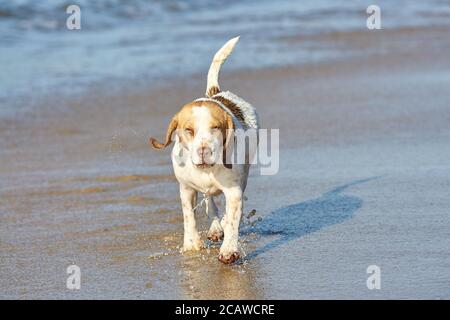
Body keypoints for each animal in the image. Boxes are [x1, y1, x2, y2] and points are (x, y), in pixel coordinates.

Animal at [150, 37, 258, 264]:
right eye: (189, 130)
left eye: (216, 127)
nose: (204, 151)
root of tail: (217, 93)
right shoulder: (186, 189)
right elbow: (189, 216)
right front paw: (192, 244)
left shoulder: (234, 191)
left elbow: (233, 219)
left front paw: (229, 250)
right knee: (210, 204)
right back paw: (215, 227)